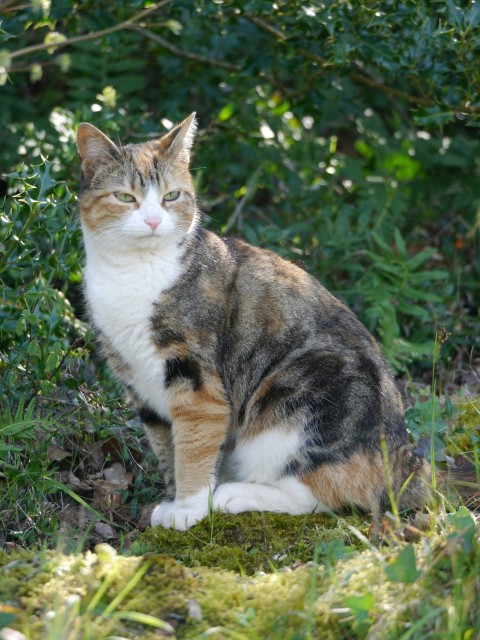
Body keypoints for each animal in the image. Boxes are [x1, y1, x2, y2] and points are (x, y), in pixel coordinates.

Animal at [77, 114, 430, 528]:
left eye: (171, 197)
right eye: (125, 198)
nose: (152, 221)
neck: (134, 272)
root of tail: (405, 458)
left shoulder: (196, 376)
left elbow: (193, 443)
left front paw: (190, 508)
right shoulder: (139, 385)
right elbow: (167, 446)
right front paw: (172, 500)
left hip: (303, 394)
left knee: (327, 494)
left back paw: (234, 495)